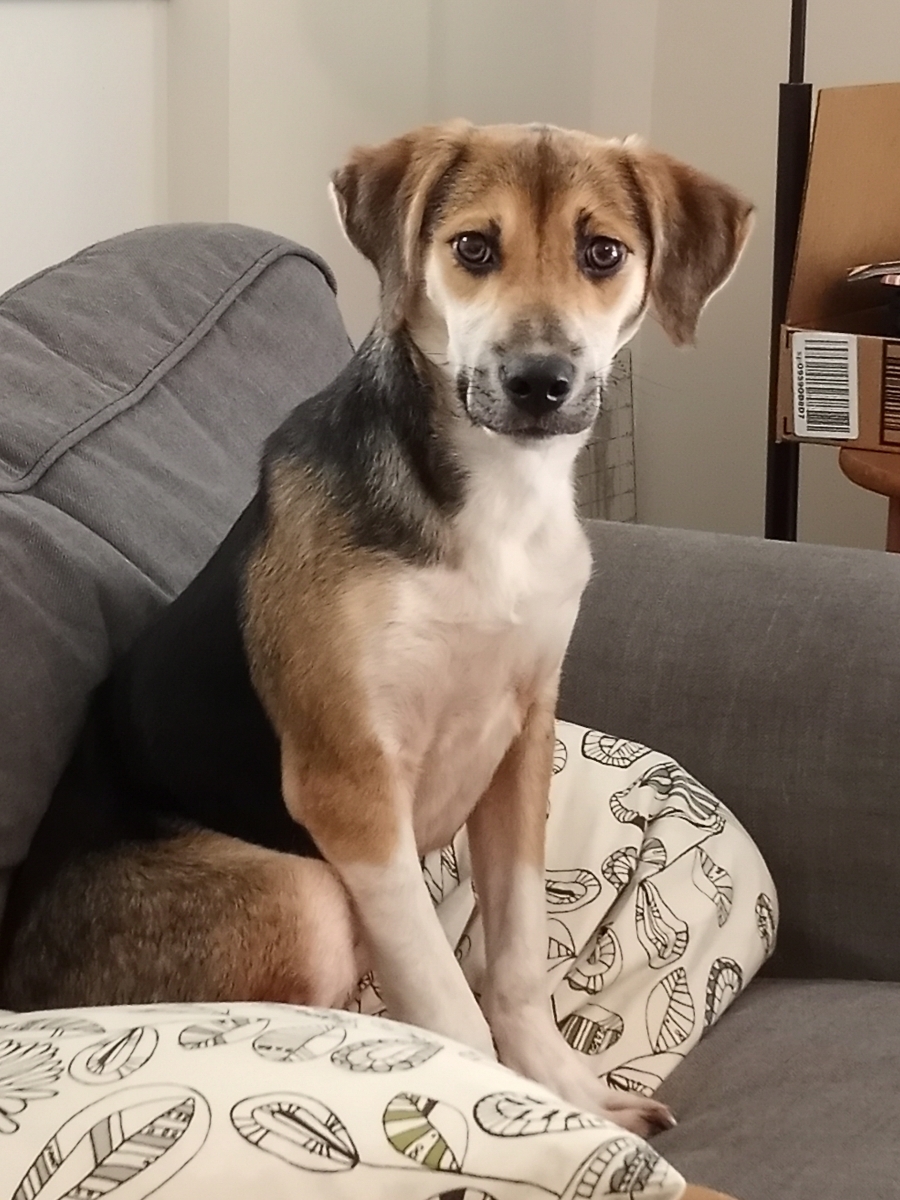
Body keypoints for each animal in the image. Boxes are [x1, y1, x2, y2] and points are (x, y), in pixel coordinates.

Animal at [1, 121, 753, 1142]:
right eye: (473, 248)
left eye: (603, 253)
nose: (539, 384)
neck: (492, 495)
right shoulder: (350, 789)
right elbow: (452, 1014)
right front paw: (515, 1105)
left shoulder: (521, 741)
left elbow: (516, 965)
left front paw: (567, 1094)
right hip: (305, 895)